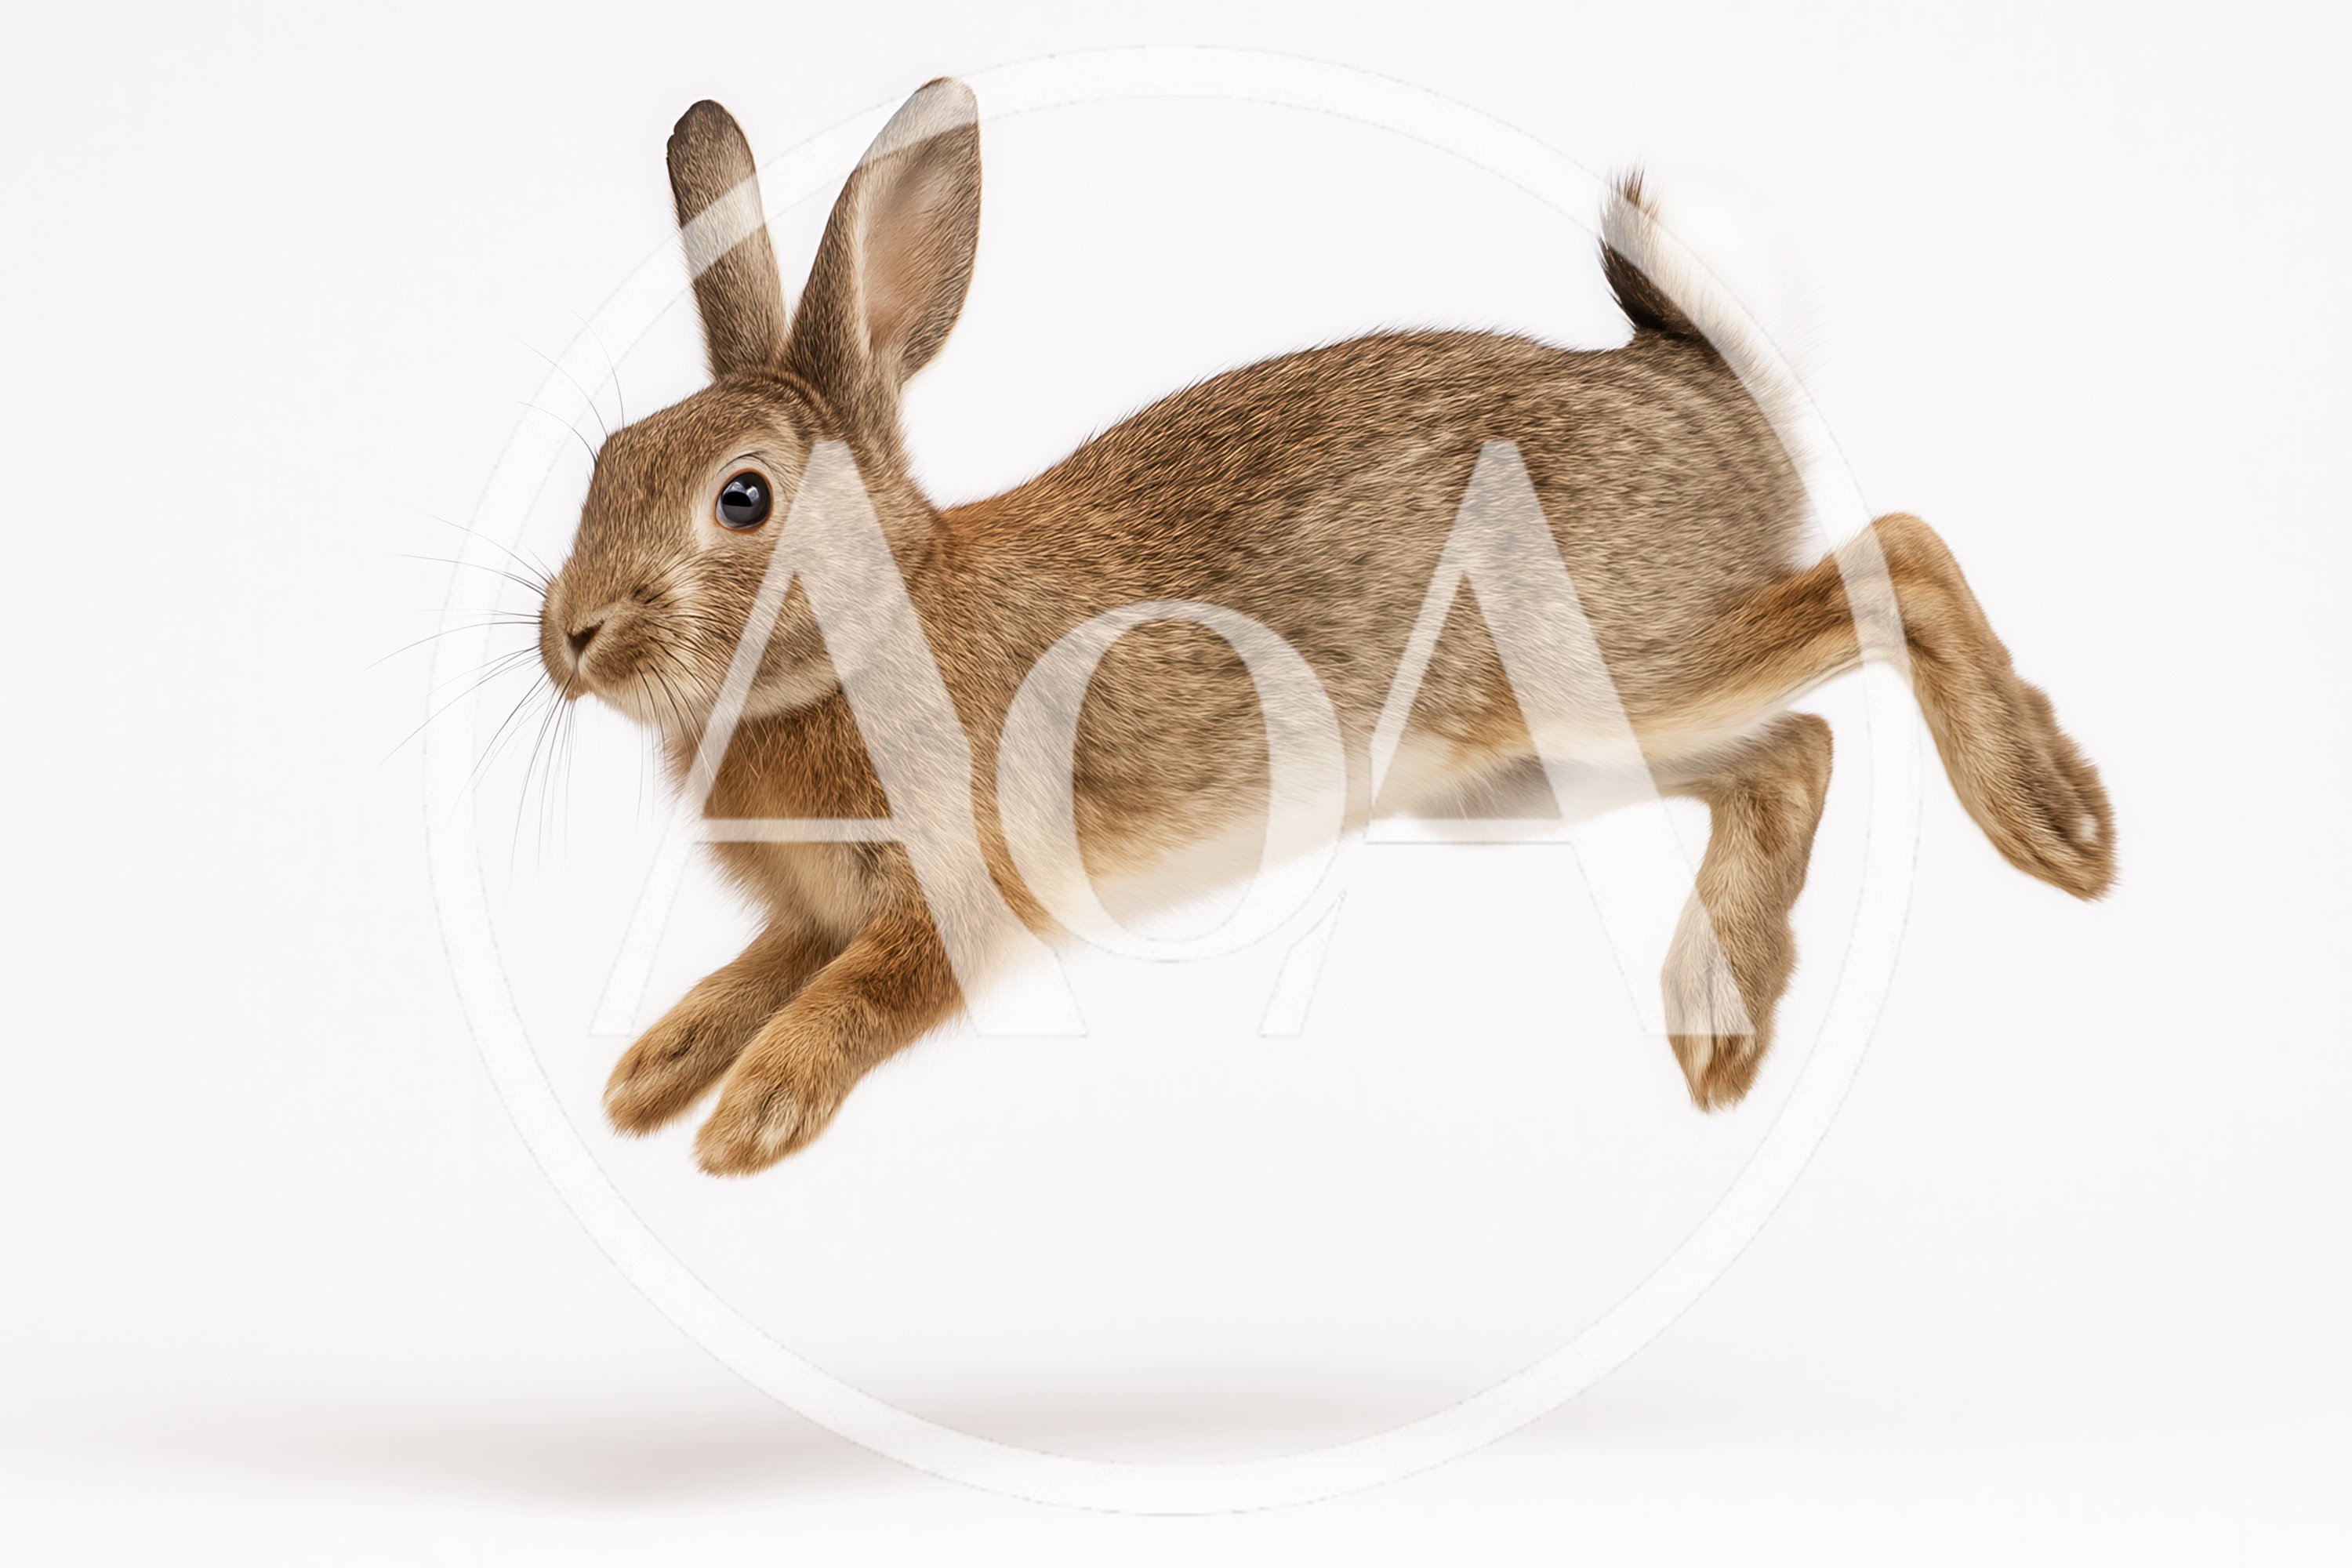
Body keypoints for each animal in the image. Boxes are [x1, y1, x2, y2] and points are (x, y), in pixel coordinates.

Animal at [536, 78, 2115, 1176]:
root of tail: (1710, 397)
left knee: (1899, 562)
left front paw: (750, 1120)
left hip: (1607, 674)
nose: (571, 635)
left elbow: (854, 1000)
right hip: (1522, 774)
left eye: (742, 500)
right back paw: (1720, 1024)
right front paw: (653, 1073)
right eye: (604, 466)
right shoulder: (817, 913)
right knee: (1793, 750)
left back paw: (2056, 824)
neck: (876, 627)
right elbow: (756, 973)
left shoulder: (964, 892)